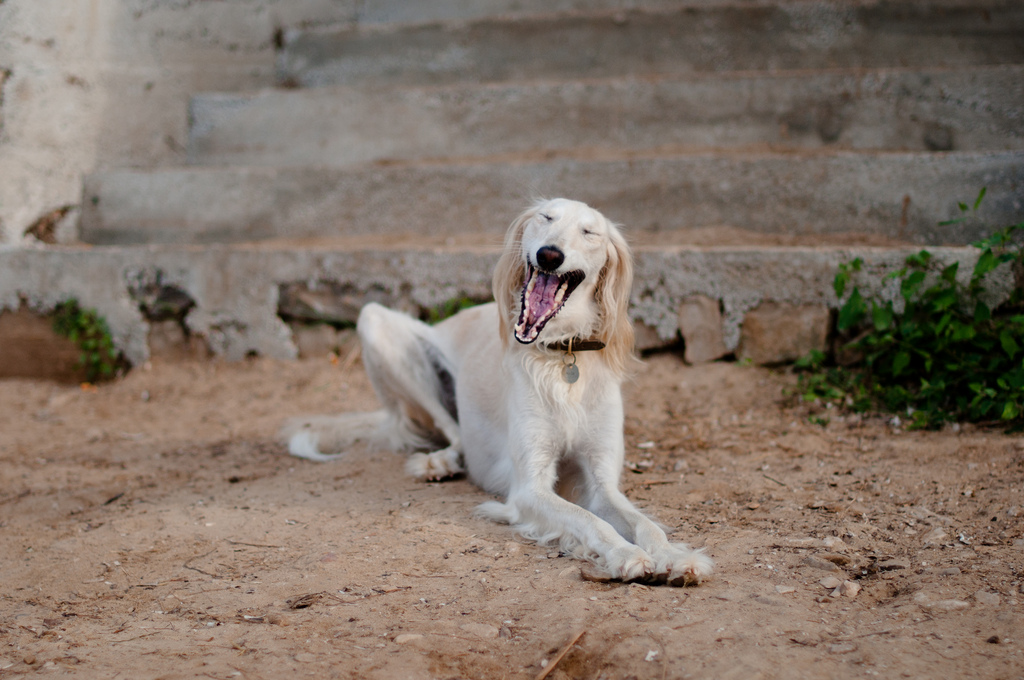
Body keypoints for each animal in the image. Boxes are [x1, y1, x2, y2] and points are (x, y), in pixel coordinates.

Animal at [280, 196, 712, 585]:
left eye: (589, 232)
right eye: (546, 217)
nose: (549, 254)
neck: (562, 357)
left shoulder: (602, 480)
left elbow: (643, 523)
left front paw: (675, 556)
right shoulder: (529, 488)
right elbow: (589, 521)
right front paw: (625, 555)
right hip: (375, 323)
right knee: (453, 433)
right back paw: (440, 462)